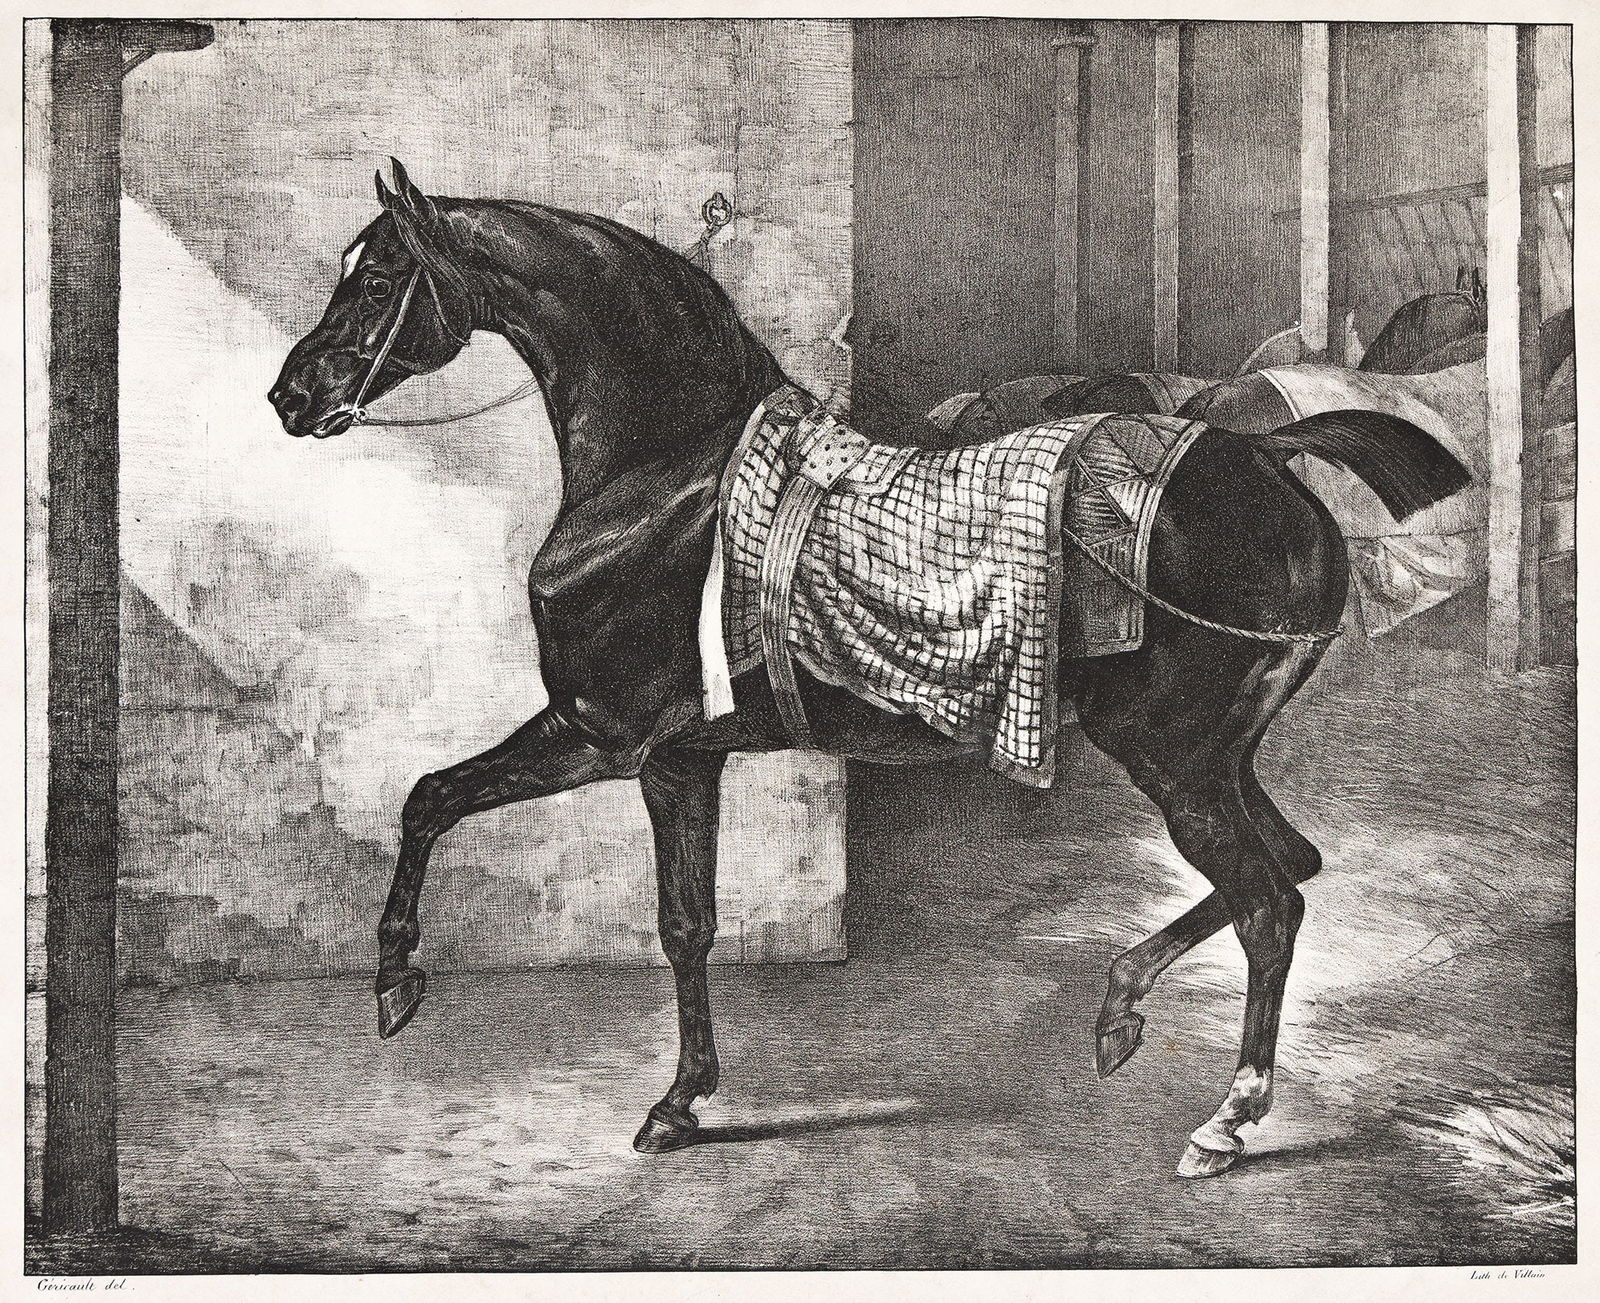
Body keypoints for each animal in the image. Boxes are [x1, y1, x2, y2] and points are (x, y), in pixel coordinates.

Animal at [269, 160, 1470, 1179]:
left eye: (375, 277)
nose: (290, 399)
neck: (668, 478)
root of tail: (1266, 457)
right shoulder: (678, 755)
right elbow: (609, 883)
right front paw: (677, 1094)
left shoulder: (615, 738)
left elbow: (505, 835)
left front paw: (410, 986)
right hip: (1216, 758)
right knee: (1290, 868)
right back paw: (1120, 1006)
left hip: (1173, 758)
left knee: (1268, 901)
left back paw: (1227, 1118)